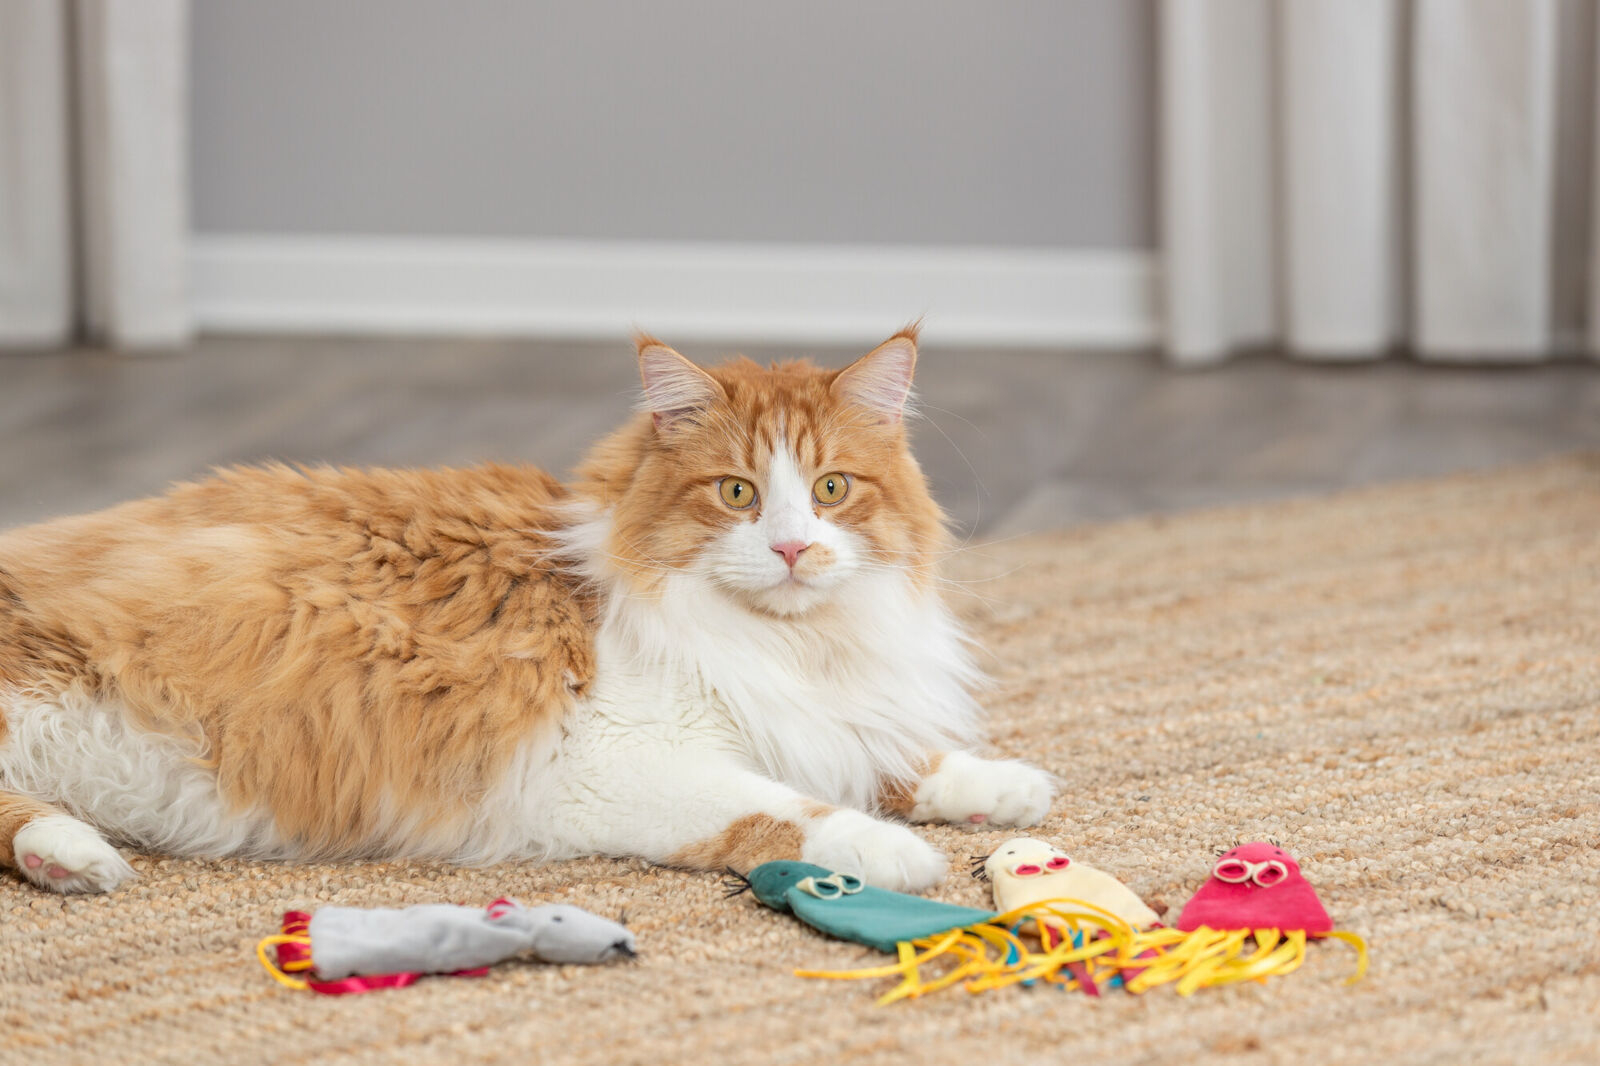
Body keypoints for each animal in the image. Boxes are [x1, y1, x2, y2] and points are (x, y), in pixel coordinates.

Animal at [0, 328, 1056, 889]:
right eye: (738, 494)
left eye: (832, 490)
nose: (794, 548)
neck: (795, 646)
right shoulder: (603, 767)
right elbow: (784, 807)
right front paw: (891, 854)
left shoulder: (825, 719)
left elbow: (900, 760)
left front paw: (1005, 788)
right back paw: (77, 857)